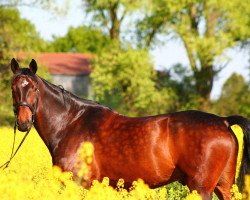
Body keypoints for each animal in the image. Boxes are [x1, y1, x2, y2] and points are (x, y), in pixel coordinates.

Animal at [8, 58, 249, 200]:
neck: (71, 123)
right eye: (13, 87)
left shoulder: (79, 185)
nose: (23, 122)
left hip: (201, 189)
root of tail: (223, 121)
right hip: (223, 186)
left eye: (33, 88)